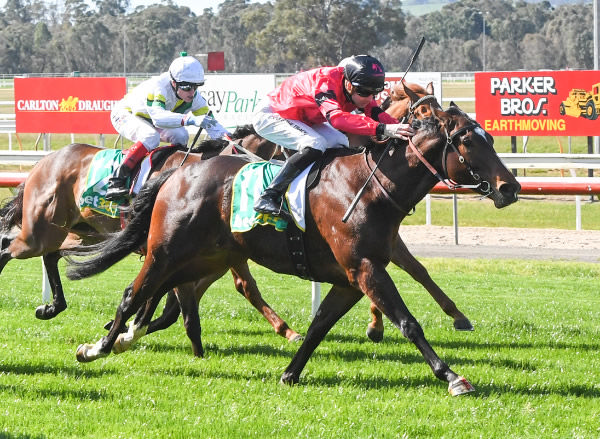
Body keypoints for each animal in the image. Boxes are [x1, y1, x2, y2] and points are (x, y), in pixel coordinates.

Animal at [62, 102, 520, 396]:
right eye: (467, 141)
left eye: (489, 138)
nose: (510, 187)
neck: (370, 187)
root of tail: (179, 173)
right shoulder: (367, 269)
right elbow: (409, 323)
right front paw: (453, 376)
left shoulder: (352, 279)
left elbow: (320, 326)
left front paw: (290, 373)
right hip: (166, 252)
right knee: (134, 293)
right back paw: (96, 348)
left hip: (204, 258)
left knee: (164, 296)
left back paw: (122, 337)